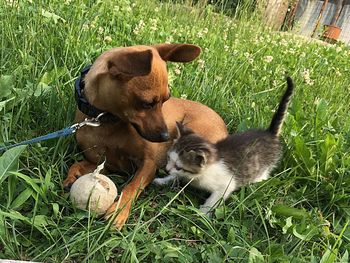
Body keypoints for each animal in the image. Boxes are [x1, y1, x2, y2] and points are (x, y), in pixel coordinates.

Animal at [63, 43, 227, 229]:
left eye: (166, 99)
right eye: (147, 104)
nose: (166, 136)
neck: (105, 121)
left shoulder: (148, 164)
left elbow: (132, 186)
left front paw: (118, 211)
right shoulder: (106, 164)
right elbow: (77, 164)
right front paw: (72, 177)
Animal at [154, 77, 294, 216]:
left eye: (179, 166)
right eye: (168, 158)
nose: (166, 169)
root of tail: (270, 133)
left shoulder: (225, 185)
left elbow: (214, 199)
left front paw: (202, 213)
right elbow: (176, 176)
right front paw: (163, 180)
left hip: (263, 168)